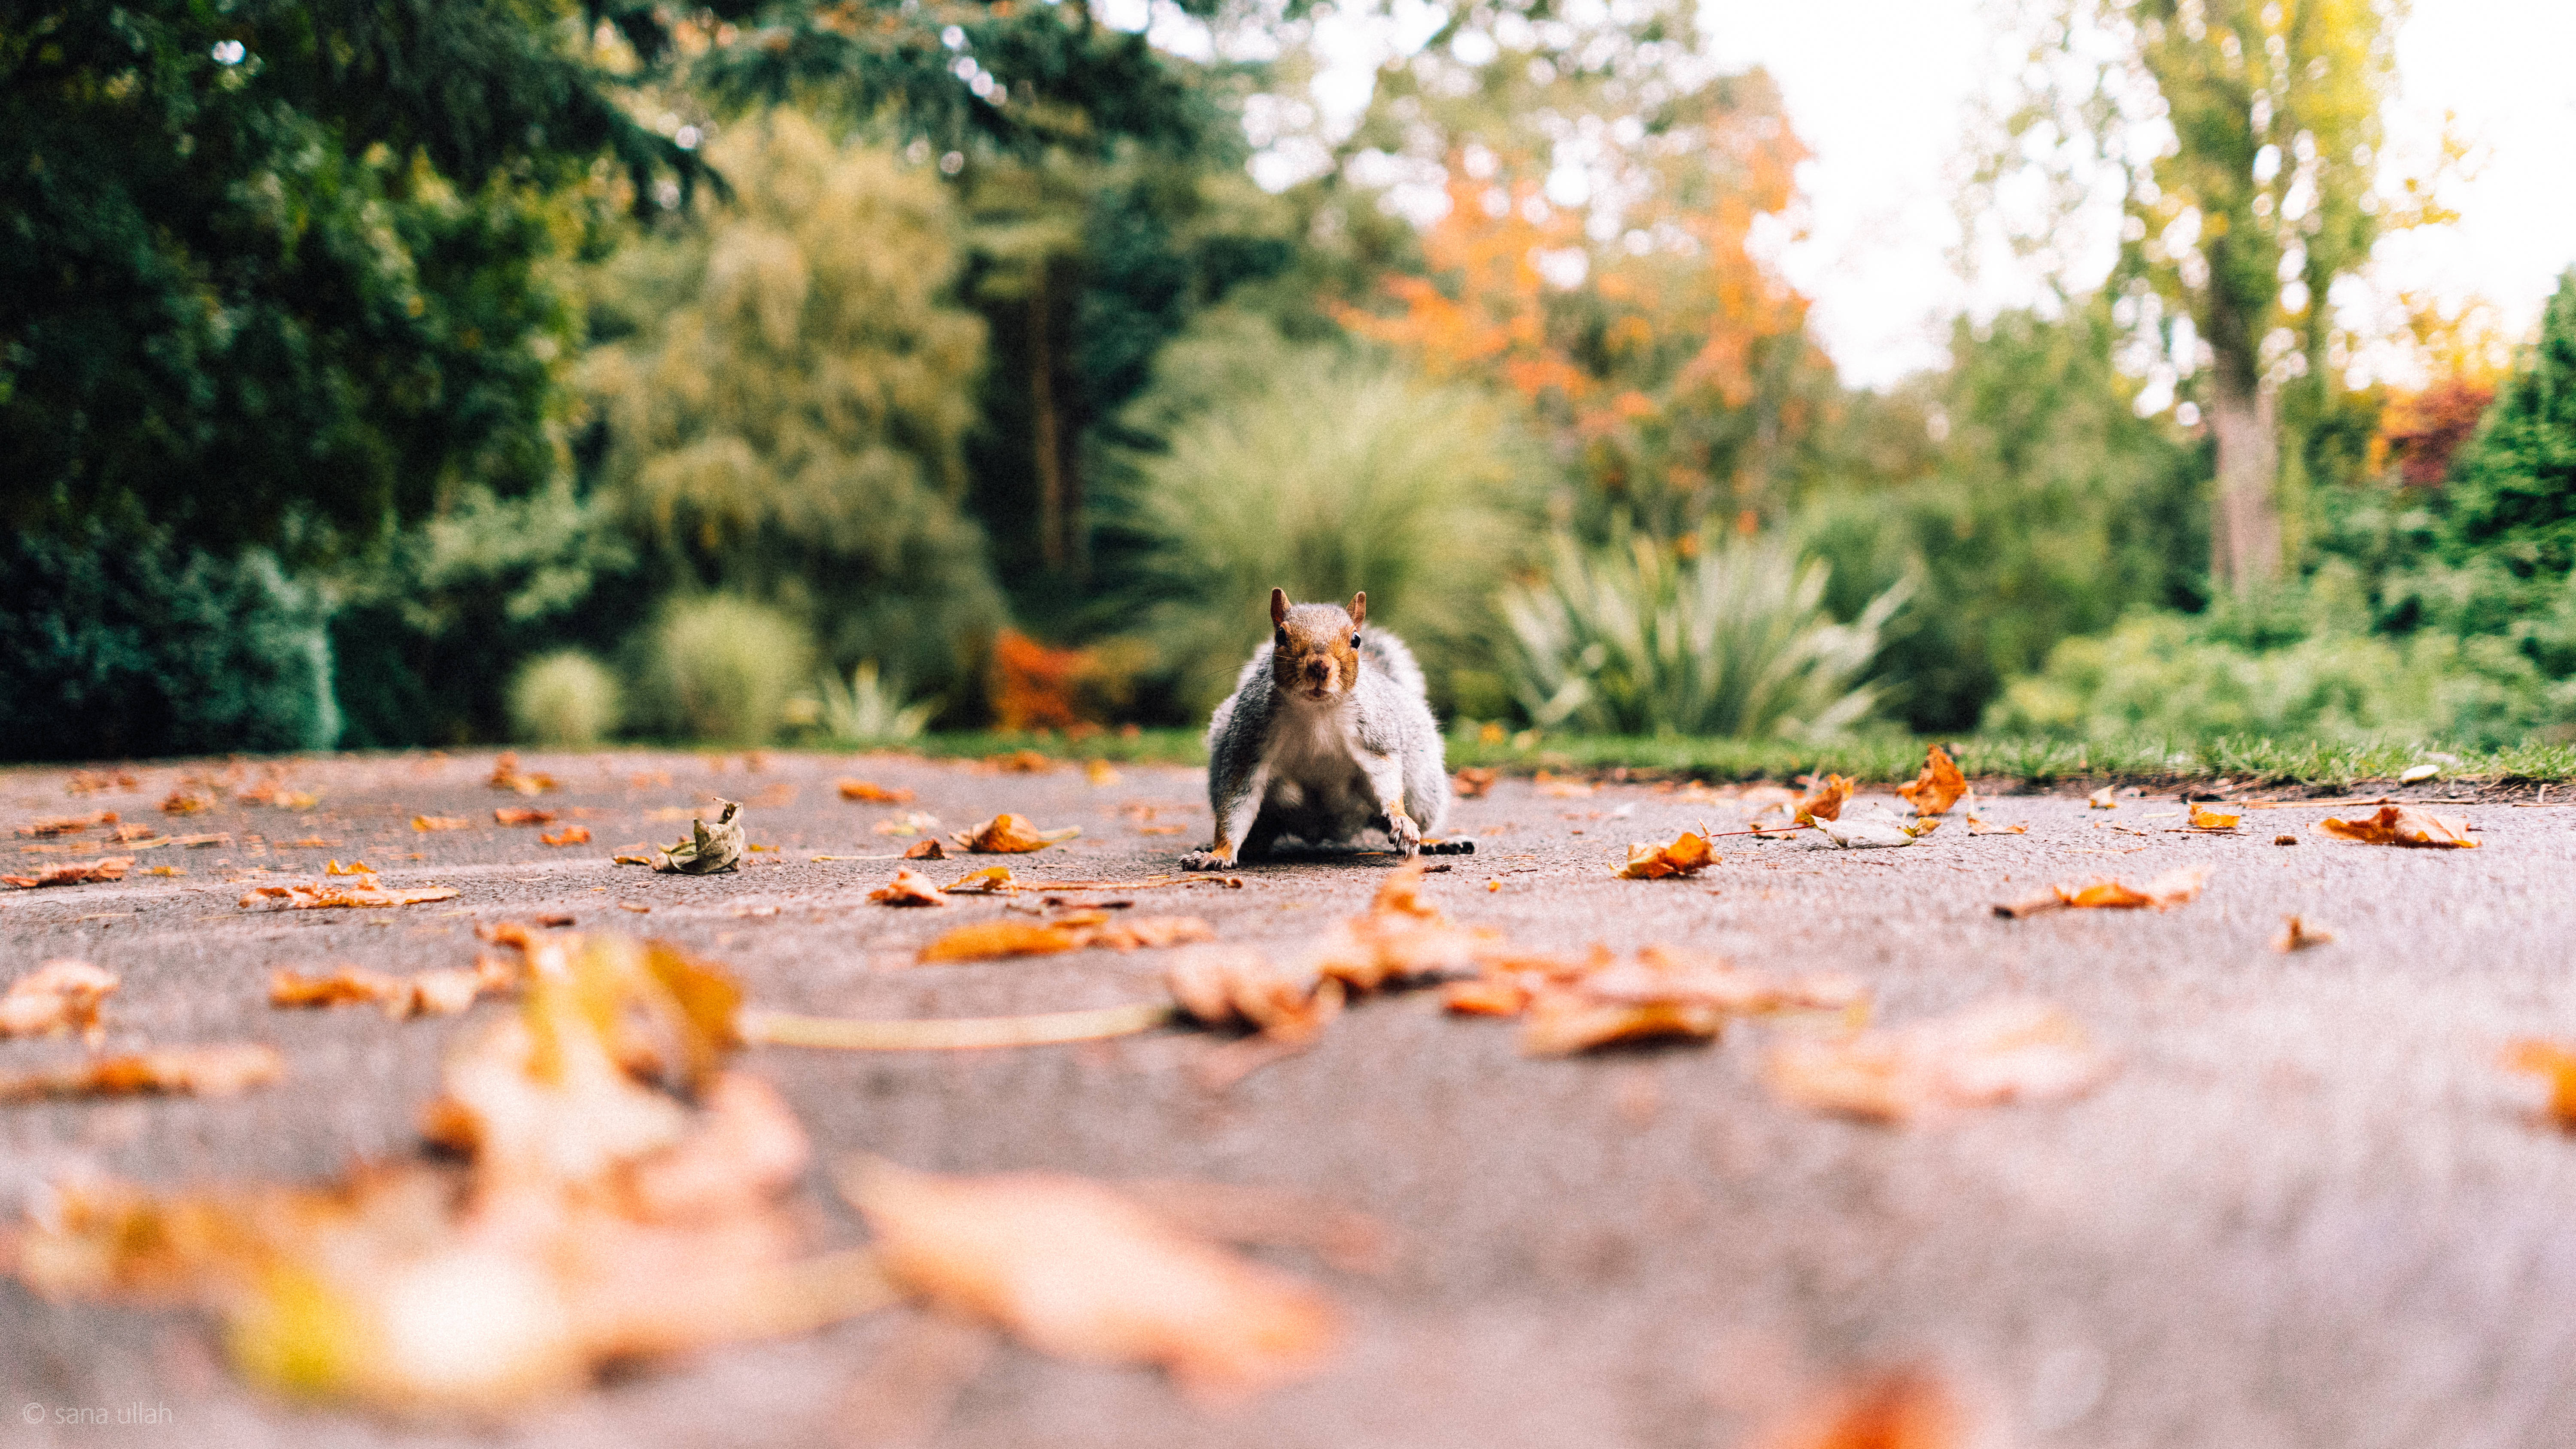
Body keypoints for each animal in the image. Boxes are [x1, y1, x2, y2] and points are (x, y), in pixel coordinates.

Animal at [1181, 588, 1467, 870]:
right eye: (1280, 635)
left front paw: (1401, 819)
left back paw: (1435, 841)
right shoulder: (1250, 740)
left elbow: (1385, 777)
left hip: (1423, 785)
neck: (1316, 711)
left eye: (1356, 639)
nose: (1319, 666)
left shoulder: (1373, 737)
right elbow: (1237, 803)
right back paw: (1248, 845)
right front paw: (1218, 853)